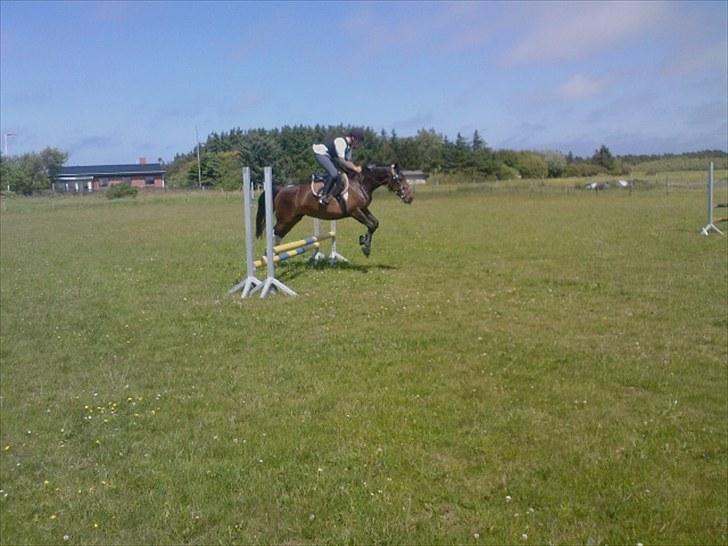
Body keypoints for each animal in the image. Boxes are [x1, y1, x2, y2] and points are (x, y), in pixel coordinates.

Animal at [256, 163, 416, 256]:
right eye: (400, 178)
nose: (410, 197)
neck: (361, 184)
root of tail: (282, 189)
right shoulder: (354, 211)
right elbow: (370, 225)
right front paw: (365, 246)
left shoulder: (363, 208)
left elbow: (375, 224)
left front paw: (364, 242)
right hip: (286, 218)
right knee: (274, 232)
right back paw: (268, 256)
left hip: (293, 219)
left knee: (278, 235)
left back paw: (274, 256)